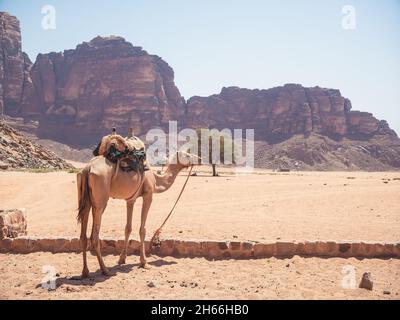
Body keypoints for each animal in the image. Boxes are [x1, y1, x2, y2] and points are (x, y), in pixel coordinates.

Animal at [77, 136, 200, 278]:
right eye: (187, 154)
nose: (200, 159)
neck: (156, 180)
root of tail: (87, 168)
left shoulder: (131, 200)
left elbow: (128, 228)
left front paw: (122, 259)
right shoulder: (148, 195)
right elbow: (142, 230)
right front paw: (144, 262)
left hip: (85, 199)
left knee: (83, 235)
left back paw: (85, 272)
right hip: (100, 200)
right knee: (94, 236)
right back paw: (105, 270)